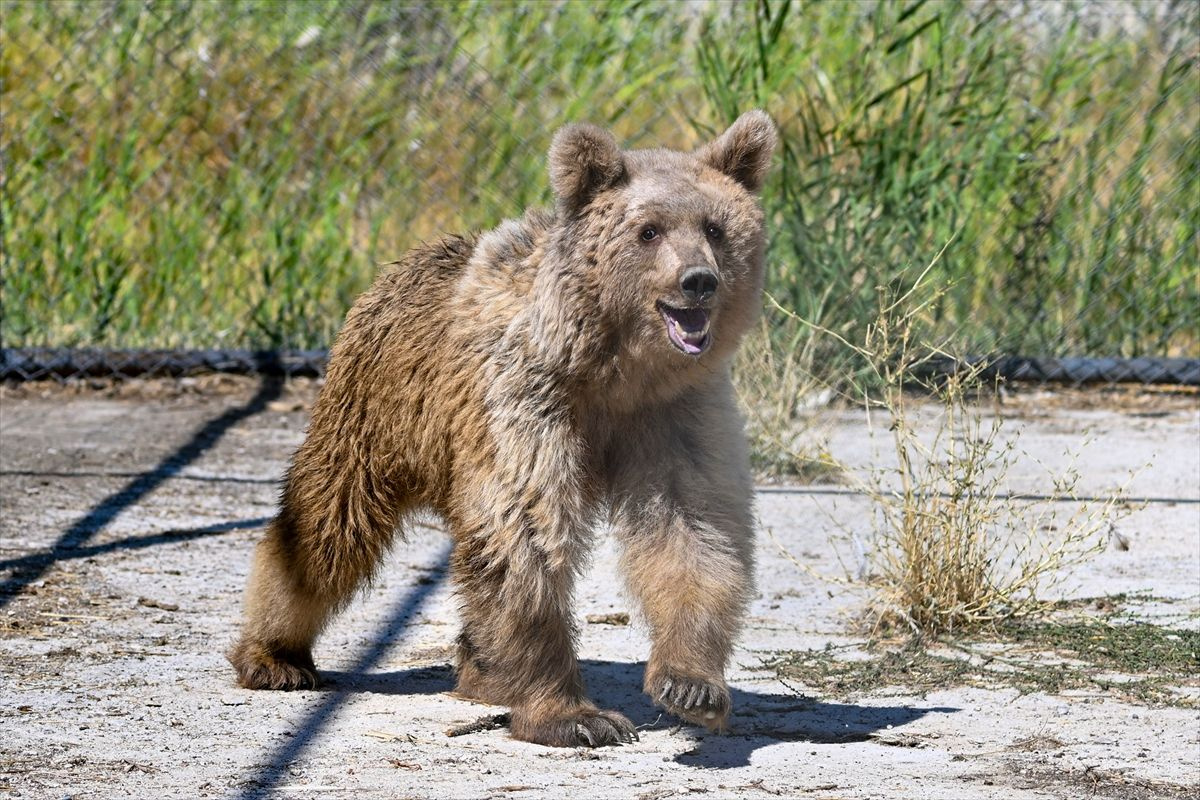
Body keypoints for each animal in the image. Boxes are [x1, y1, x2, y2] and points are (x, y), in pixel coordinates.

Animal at [230, 109, 777, 748]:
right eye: (648, 231)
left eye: (714, 227)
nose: (698, 280)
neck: (613, 371)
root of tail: (397, 267)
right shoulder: (527, 398)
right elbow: (525, 534)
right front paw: (576, 715)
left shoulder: (673, 413)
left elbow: (692, 529)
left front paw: (690, 685)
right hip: (376, 412)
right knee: (326, 527)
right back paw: (275, 656)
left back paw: (482, 670)